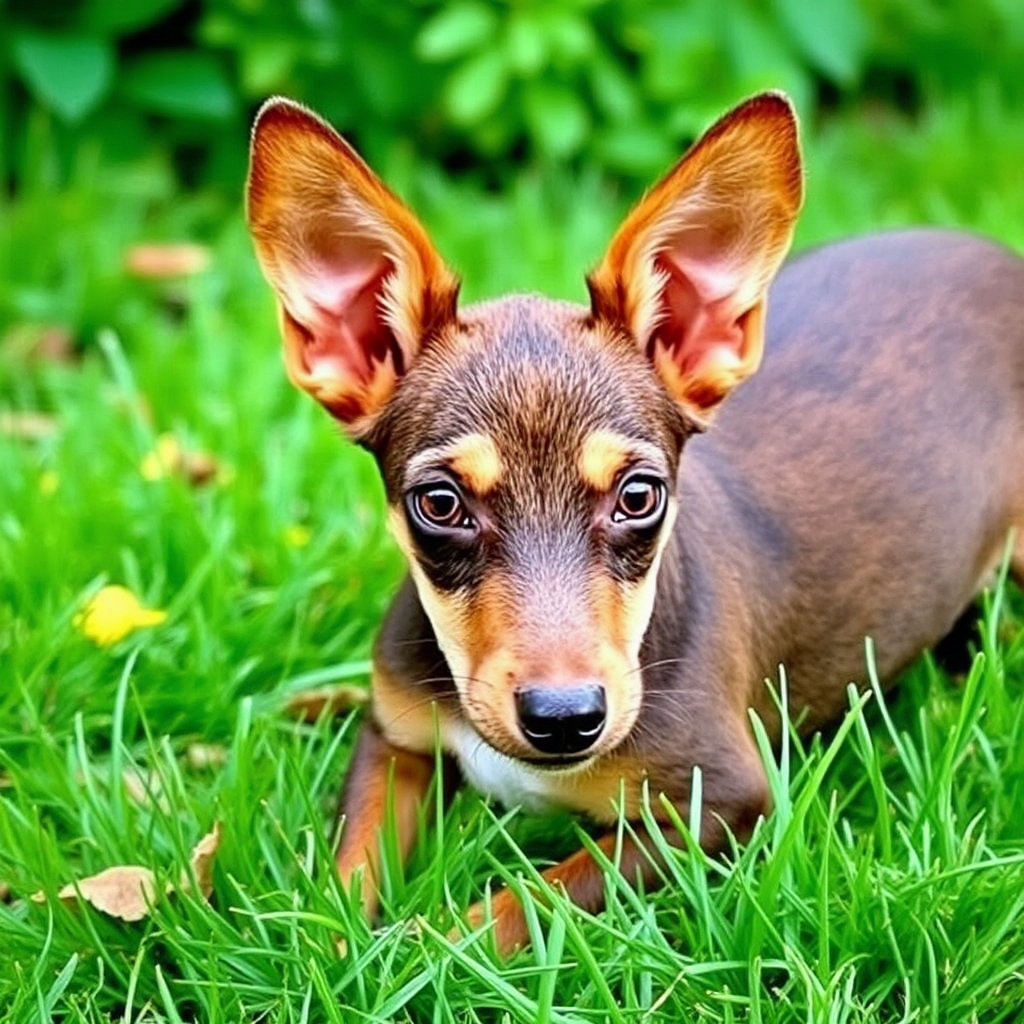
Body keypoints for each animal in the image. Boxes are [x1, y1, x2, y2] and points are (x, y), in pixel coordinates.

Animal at [247, 92, 1024, 954]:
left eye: (639, 496)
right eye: (441, 504)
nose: (564, 720)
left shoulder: (717, 804)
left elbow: (525, 902)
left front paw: (417, 947)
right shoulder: (394, 739)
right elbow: (345, 872)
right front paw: (331, 947)